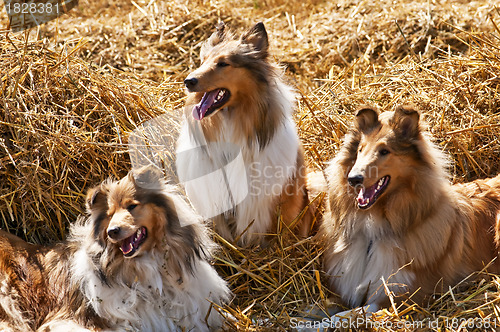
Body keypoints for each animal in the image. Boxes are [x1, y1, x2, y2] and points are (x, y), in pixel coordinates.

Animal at [318, 107, 500, 314]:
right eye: (360, 150)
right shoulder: (341, 293)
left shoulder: (399, 298)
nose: (353, 179)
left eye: (384, 151)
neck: (374, 229)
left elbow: (347, 315)